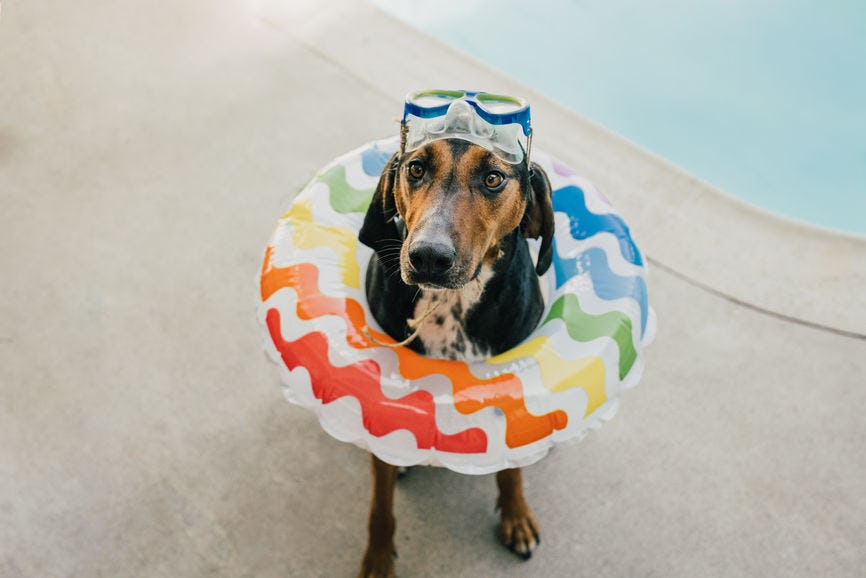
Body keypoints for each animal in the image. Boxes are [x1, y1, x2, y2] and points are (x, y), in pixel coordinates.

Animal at [356, 136, 552, 576]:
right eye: (415, 169)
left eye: (493, 178)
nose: (429, 256)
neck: (451, 303)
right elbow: (380, 506)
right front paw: (377, 560)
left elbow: (513, 468)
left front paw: (515, 515)